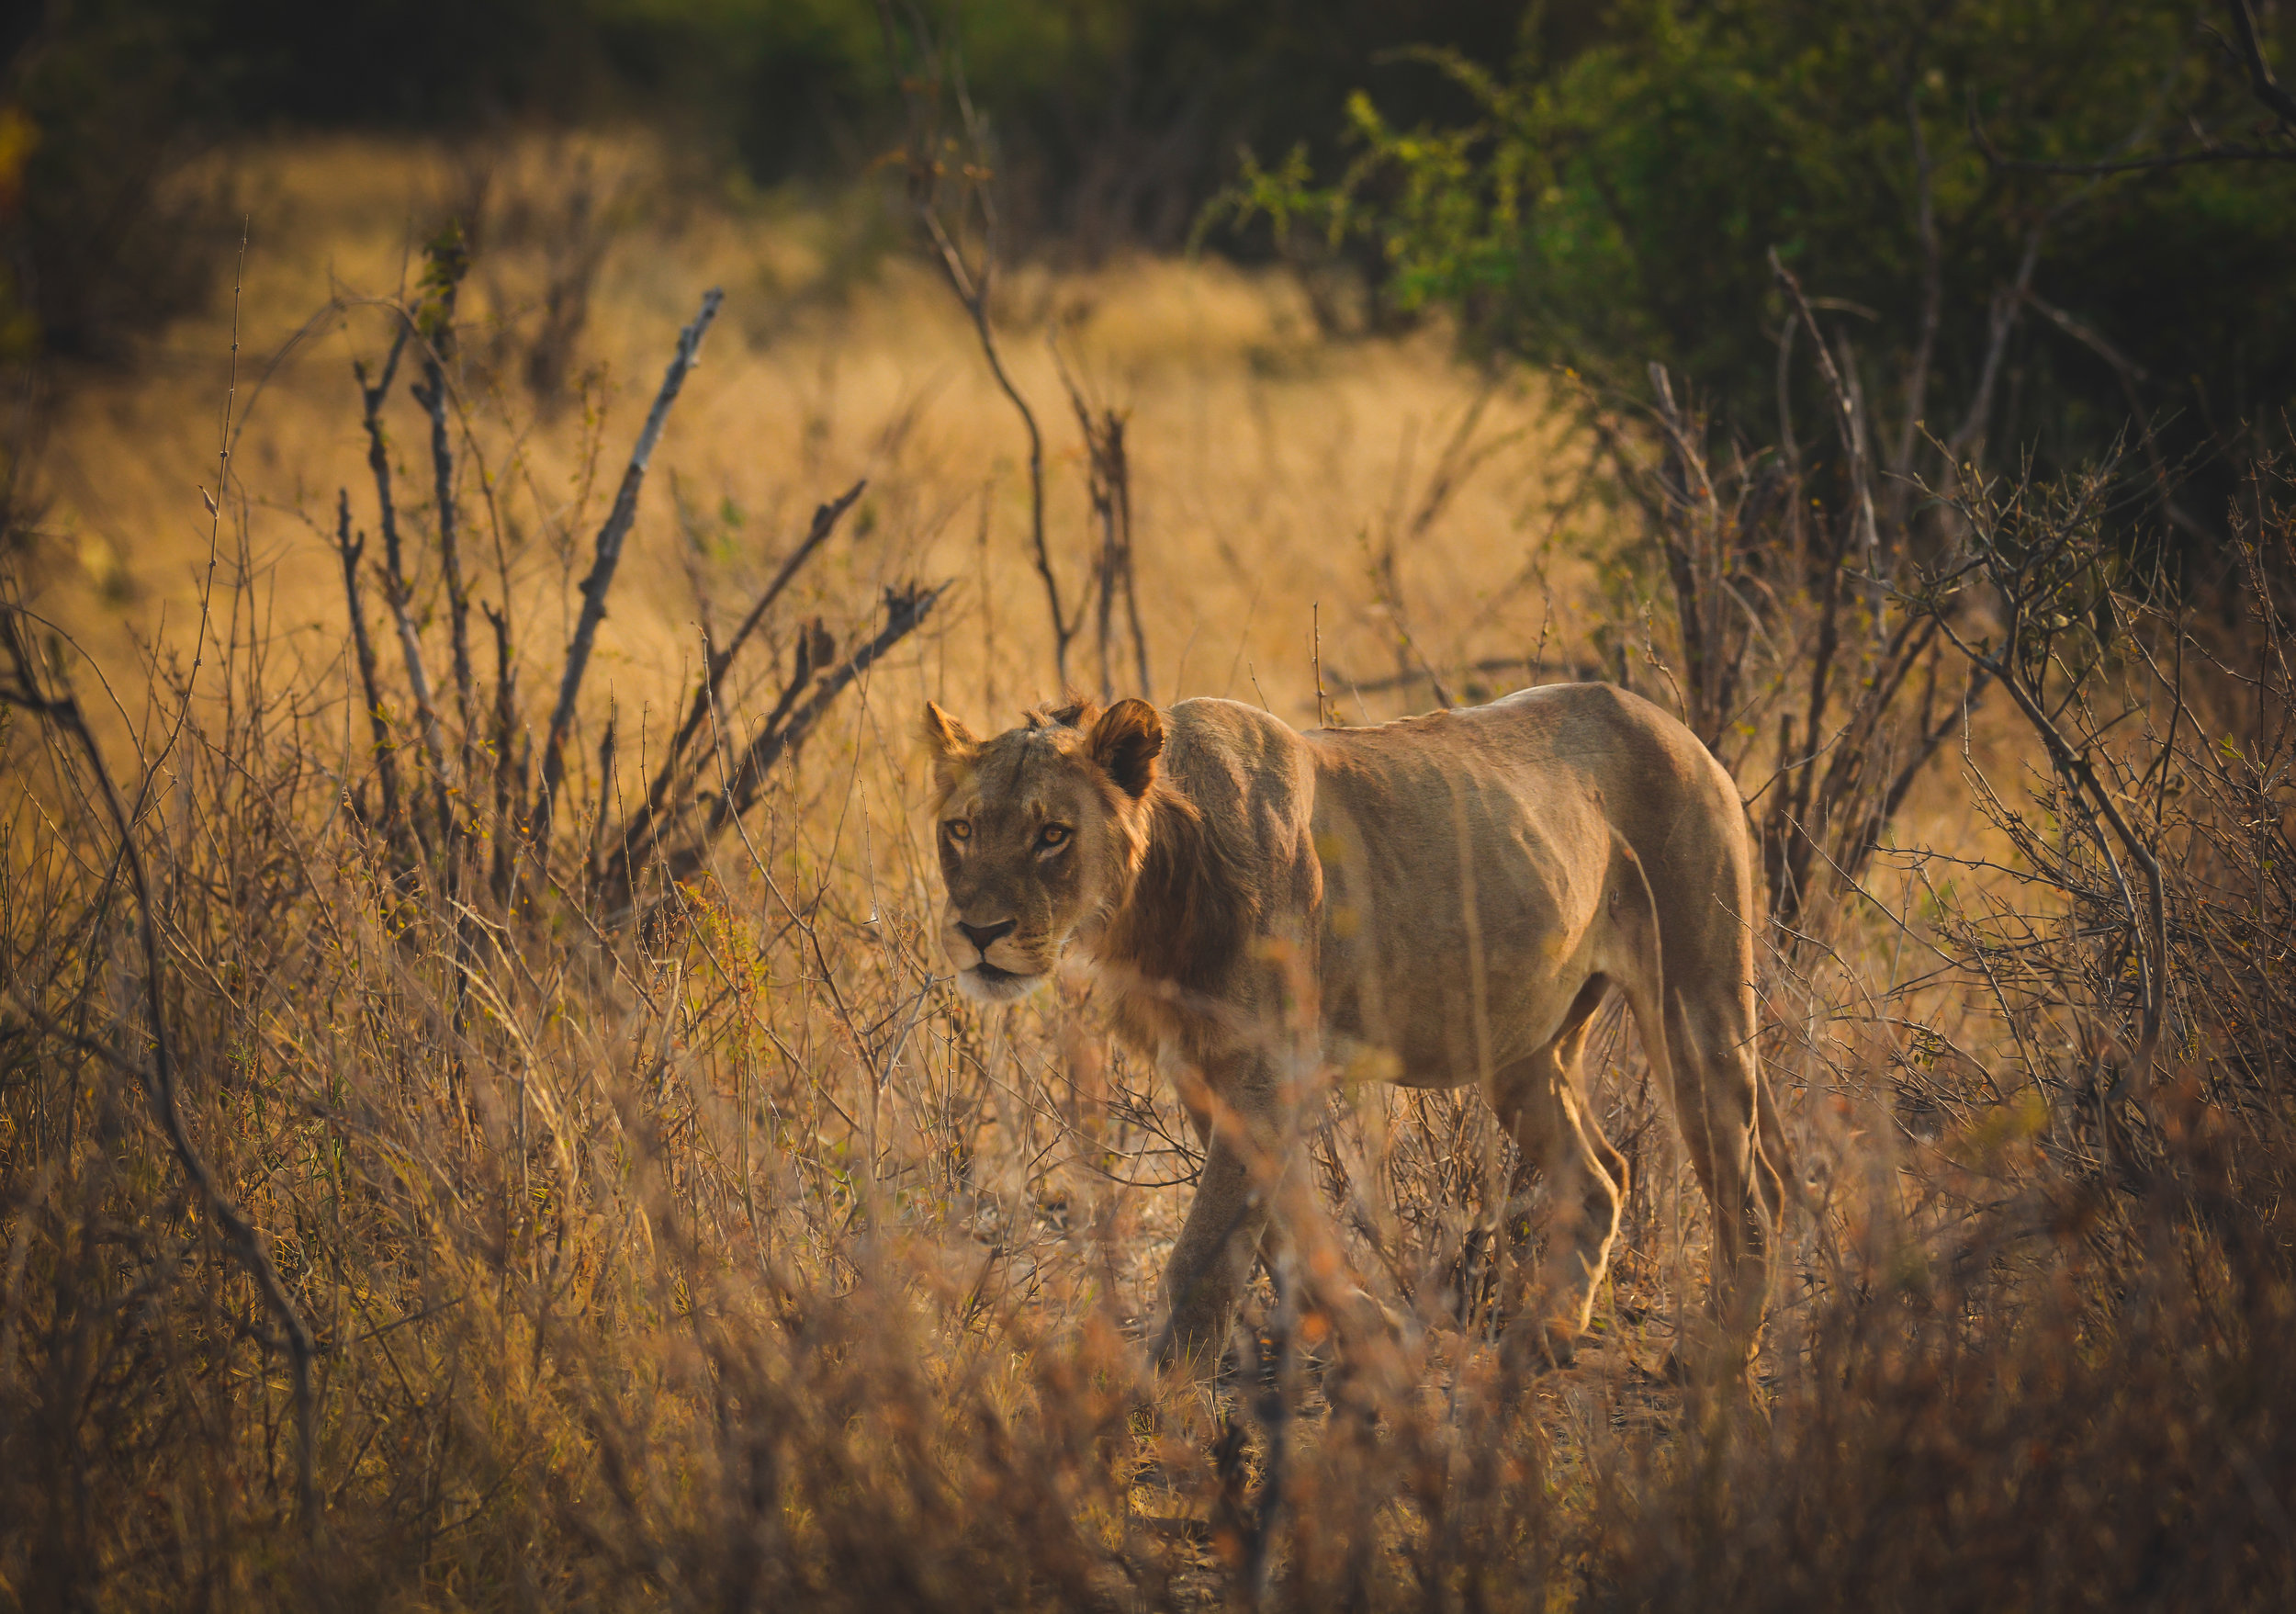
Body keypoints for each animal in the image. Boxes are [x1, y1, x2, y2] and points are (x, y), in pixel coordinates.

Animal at [922, 684, 1790, 1375]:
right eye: (961, 829)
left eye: (1053, 835)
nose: (978, 930)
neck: (1154, 899)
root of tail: (1672, 723)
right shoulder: (1204, 1072)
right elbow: (1284, 1225)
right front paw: (1373, 1336)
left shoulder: (1264, 1069)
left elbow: (1209, 1248)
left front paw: (1158, 1392)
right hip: (1524, 1050)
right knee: (1602, 1174)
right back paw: (1546, 1336)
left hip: (1696, 1001)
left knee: (1749, 1183)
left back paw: (1719, 1349)